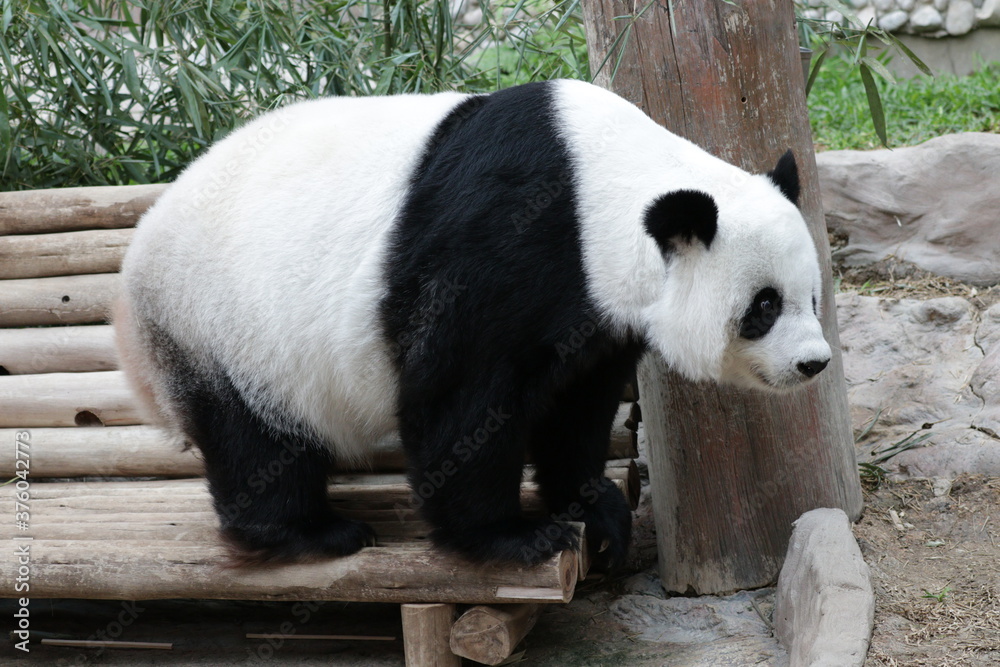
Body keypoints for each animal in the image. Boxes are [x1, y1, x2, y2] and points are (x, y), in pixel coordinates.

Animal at [115, 79, 831, 570]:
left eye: (812, 297)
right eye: (764, 306)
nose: (813, 362)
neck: (600, 183)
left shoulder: (593, 307)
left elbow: (576, 404)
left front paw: (595, 510)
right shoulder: (506, 234)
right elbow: (461, 395)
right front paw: (511, 537)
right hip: (221, 323)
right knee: (257, 439)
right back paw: (310, 532)